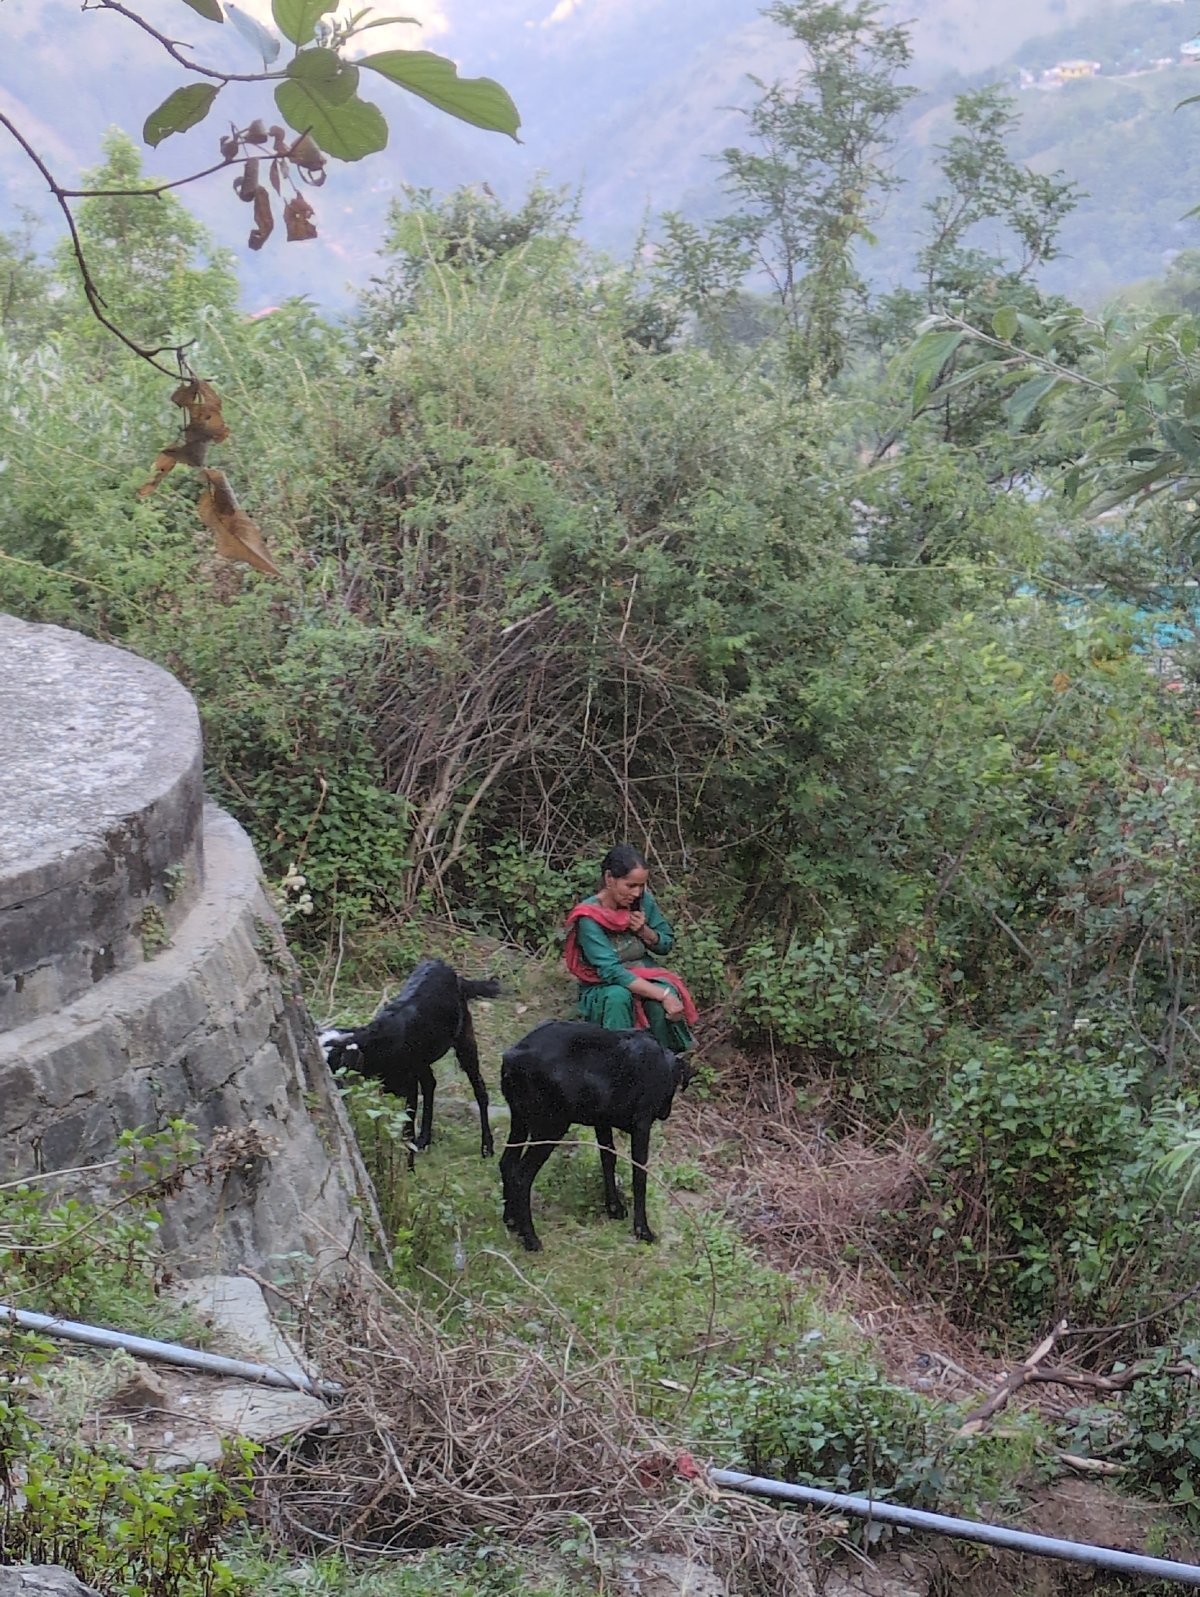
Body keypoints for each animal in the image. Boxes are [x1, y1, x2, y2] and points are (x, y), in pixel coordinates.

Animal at [320, 960, 500, 1166]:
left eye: (332, 1063)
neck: (379, 1044)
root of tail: (445, 967)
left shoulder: (409, 1086)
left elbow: (407, 1131)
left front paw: (410, 1169)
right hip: (422, 1060)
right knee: (430, 1083)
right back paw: (424, 1139)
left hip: (464, 1038)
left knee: (479, 1089)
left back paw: (487, 1147)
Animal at [499, 1019, 692, 1251]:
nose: (665, 1113)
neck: (661, 1064)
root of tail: (513, 1057)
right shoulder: (642, 1125)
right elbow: (639, 1175)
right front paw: (642, 1229)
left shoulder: (602, 1122)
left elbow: (608, 1160)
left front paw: (614, 1208)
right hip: (550, 1128)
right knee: (521, 1176)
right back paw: (530, 1238)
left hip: (520, 1120)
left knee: (507, 1163)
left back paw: (511, 1220)